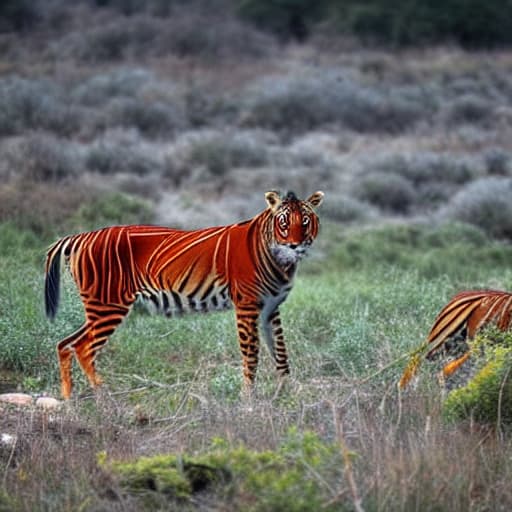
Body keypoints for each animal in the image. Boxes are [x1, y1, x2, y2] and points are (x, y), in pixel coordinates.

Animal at [44, 190, 324, 398]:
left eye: (305, 221)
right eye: (284, 222)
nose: (295, 245)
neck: (280, 260)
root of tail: (79, 236)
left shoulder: (271, 307)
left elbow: (280, 350)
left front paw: (287, 392)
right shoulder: (248, 305)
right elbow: (251, 353)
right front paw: (249, 398)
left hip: (98, 308)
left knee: (64, 344)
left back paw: (68, 400)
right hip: (108, 305)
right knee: (83, 348)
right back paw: (106, 398)